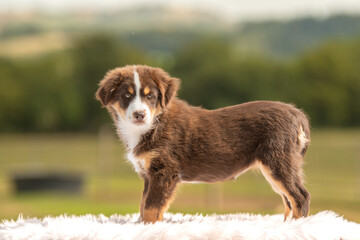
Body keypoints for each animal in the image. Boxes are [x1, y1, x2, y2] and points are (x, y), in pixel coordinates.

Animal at [96, 65, 312, 223]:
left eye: (150, 96)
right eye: (126, 95)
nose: (139, 115)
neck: (154, 124)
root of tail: (296, 113)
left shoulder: (165, 170)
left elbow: (151, 207)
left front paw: (148, 227)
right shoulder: (148, 175)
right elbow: (143, 205)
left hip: (278, 161)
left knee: (300, 196)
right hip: (276, 167)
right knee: (288, 199)